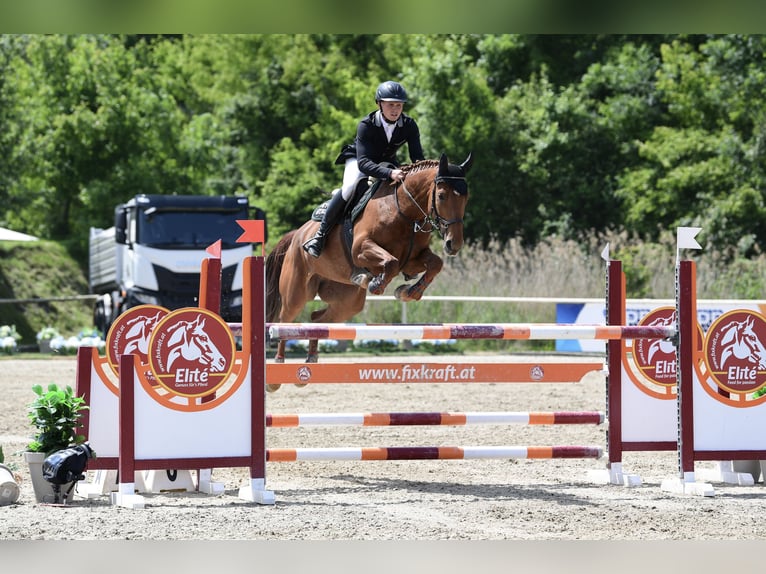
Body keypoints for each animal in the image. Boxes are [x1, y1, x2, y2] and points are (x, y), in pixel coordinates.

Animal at [264, 152, 473, 389]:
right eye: (442, 195)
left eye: (465, 198)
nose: (453, 244)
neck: (403, 211)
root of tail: (296, 235)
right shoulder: (361, 249)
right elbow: (390, 263)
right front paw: (375, 283)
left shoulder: (412, 259)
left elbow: (435, 264)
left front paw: (408, 292)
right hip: (297, 291)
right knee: (285, 320)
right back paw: (278, 369)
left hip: (347, 303)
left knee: (317, 320)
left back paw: (310, 360)